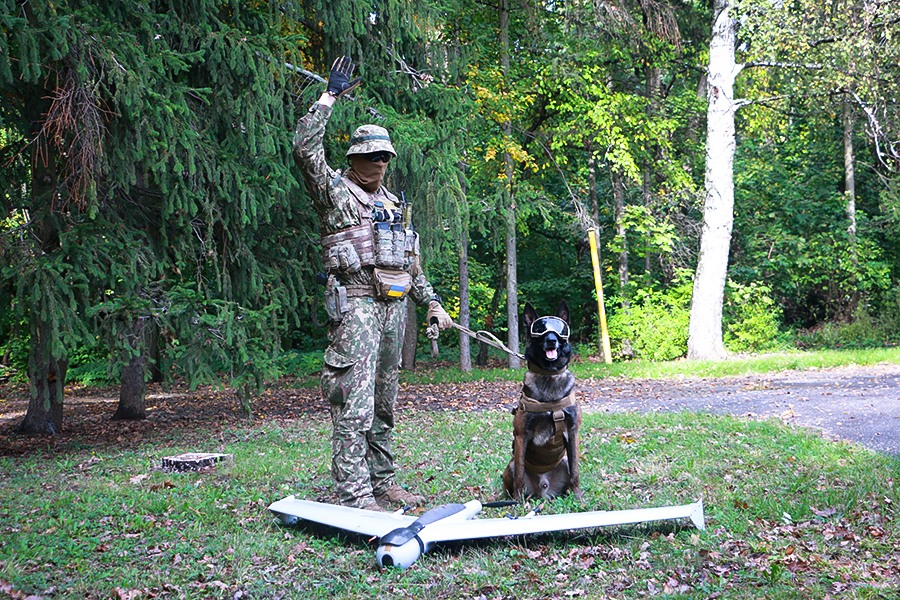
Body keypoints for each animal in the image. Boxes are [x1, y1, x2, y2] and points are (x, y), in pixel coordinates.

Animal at [500, 300, 584, 502]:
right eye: (539, 329)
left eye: (560, 330)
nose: (552, 340)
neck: (549, 375)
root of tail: (543, 489)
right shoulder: (521, 435)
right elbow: (520, 474)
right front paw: (517, 503)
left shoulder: (573, 431)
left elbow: (576, 472)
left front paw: (578, 499)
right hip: (510, 465)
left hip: (564, 461)